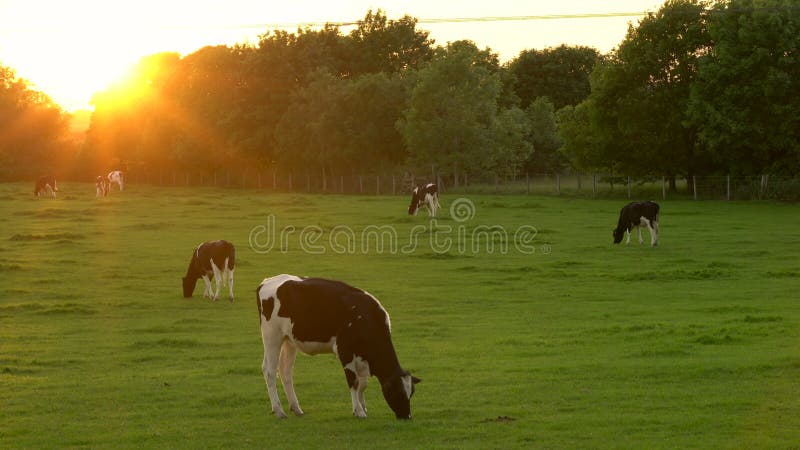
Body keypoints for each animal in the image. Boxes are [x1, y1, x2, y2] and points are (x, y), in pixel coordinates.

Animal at [258, 276, 422, 420]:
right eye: (397, 392)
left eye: (411, 393)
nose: (407, 417)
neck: (366, 317)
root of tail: (267, 281)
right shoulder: (345, 351)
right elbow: (354, 382)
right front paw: (358, 411)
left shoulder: (362, 357)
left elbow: (363, 384)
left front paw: (363, 407)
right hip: (272, 337)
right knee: (270, 371)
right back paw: (279, 411)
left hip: (289, 340)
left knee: (285, 371)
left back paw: (296, 409)